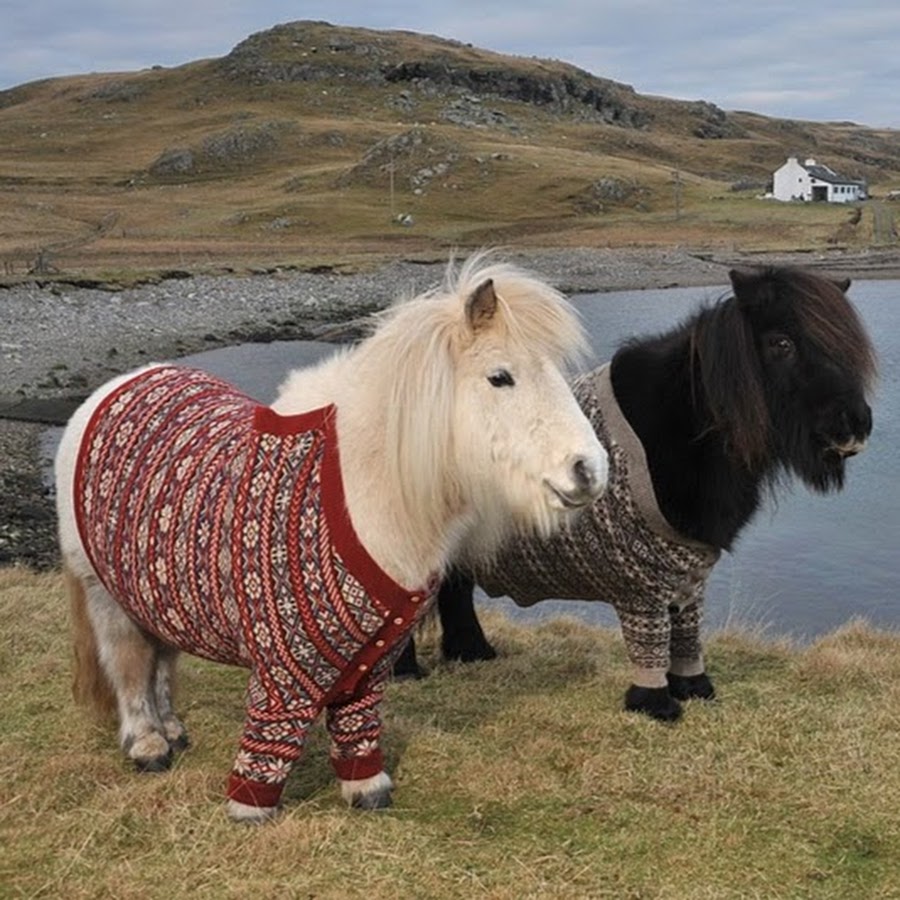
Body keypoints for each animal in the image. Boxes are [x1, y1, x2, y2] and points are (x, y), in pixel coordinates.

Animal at [54, 253, 604, 824]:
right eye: (501, 377)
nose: (590, 471)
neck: (358, 491)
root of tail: (113, 388)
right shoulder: (281, 668)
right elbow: (273, 731)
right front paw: (251, 808)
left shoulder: (371, 661)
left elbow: (358, 725)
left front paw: (367, 789)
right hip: (106, 594)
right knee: (129, 663)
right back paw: (147, 744)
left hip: (155, 594)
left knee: (161, 659)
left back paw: (174, 731)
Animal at [398, 264, 876, 720]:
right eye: (781, 343)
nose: (855, 423)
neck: (680, 428)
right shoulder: (642, 584)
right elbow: (651, 642)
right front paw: (656, 704)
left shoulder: (688, 577)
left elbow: (686, 636)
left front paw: (695, 688)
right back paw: (408, 672)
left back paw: (474, 654)